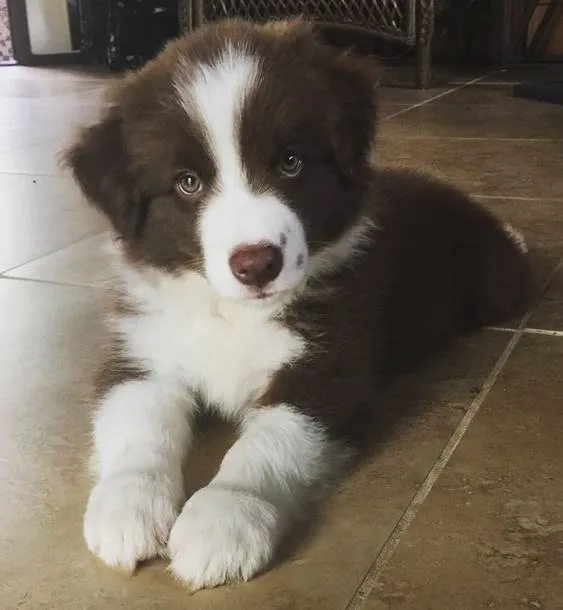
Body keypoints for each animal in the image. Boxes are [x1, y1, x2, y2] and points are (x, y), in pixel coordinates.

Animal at [64, 19, 532, 588]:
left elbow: (265, 445)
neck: (233, 313)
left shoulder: (327, 370)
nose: (257, 264)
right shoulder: (141, 353)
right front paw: (126, 508)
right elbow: (137, 426)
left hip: (497, 285)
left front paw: (222, 522)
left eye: (291, 162)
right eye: (187, 183)